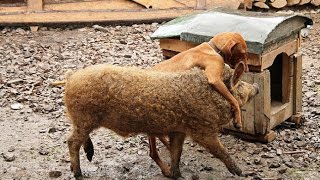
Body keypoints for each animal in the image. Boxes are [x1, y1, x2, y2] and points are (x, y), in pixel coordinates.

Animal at [148, 31, 250, 176]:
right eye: (243, 52)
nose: (247, 69)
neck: (213, 48)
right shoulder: (214, 78)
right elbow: (234, 101)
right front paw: (238, 120)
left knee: (153, 150)